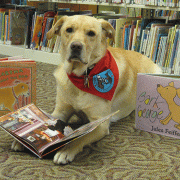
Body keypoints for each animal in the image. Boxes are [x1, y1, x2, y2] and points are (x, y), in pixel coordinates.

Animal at [11, 15, 162, 165]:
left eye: (91, 33)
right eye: (69, 30)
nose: (76, 46)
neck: (83, 76)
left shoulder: (100, 123)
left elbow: (81, 137)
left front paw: (66, 150)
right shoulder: (60, 111)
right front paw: (23, 140)